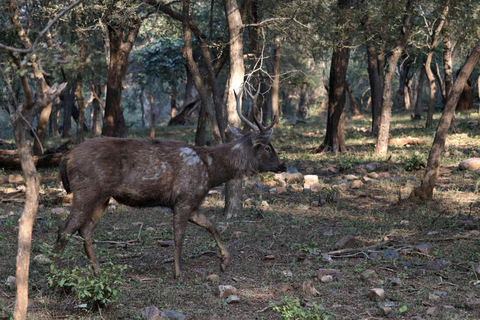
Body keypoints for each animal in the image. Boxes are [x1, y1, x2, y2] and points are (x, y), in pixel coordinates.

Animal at [54, 87, 284, 278]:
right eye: (268, 147)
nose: (282, 165)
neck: (211, 172)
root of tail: (67, 157)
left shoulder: (192, 203)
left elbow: (212, 226)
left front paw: (224, 262)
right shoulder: (184, 198)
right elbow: (179, 236)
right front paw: (178, 272)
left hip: (103, 197)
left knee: (86, 230)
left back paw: (97, 271)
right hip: (87, 190)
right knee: (65, 227)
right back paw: (54, 273)